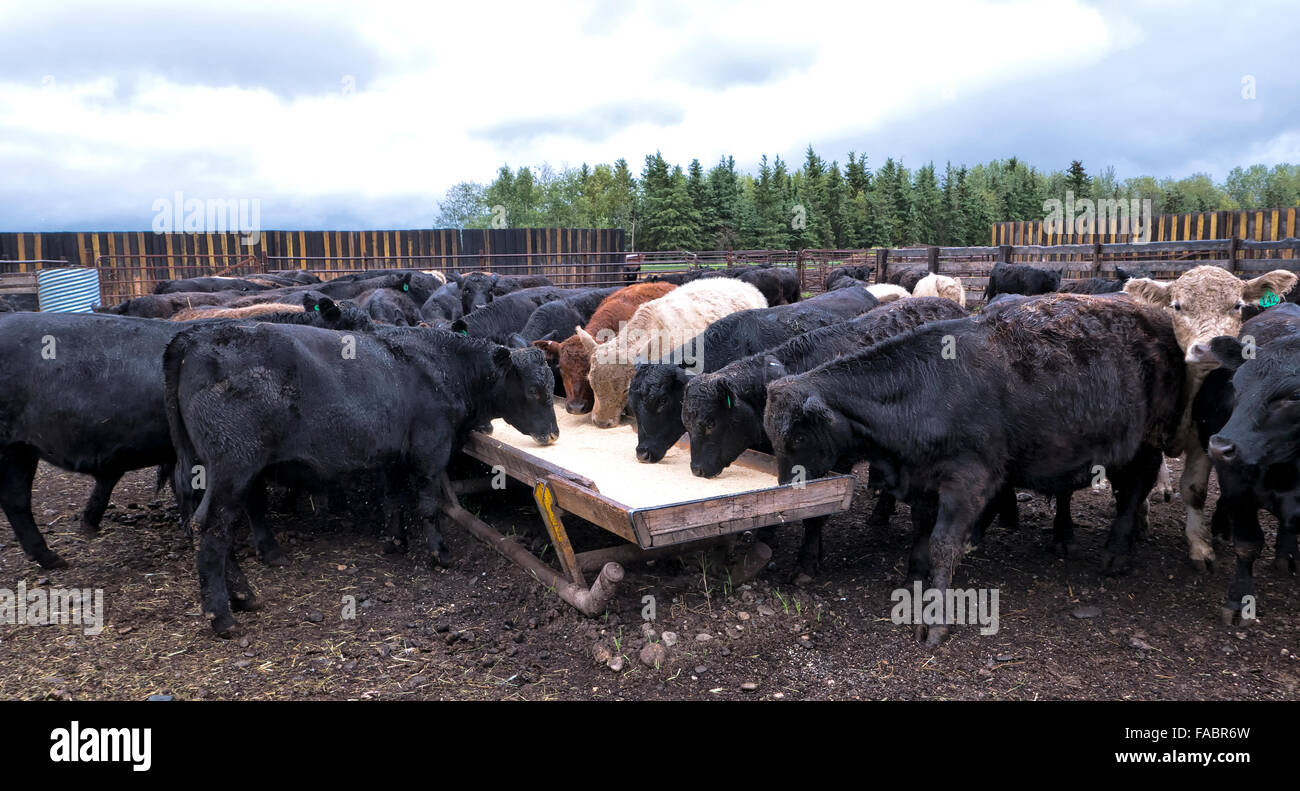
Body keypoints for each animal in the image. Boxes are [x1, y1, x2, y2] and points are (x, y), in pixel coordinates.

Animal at [163, 324, 558, 636]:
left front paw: (396, 541)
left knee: (212, 528)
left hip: (210, 470)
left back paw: (243, 596)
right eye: (535, 391)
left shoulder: (393, 456)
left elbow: (393, 499)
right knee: (212, 529)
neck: (443, 366)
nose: (553, 434)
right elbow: (428, 505)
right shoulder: (431, 450)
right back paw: (222, 616)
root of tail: (195, 335)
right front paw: (440, 553)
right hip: (233, 467)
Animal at [764, 295, 1186, 644]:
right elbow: (922, 527)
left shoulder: (967, 480)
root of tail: (1153, 313)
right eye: (772, 436)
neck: (924, 389)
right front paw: (915, 572)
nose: (784, 489)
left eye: (797, 438)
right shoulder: (924, 476)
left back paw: (1117, 552)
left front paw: (935, 619)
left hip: (1148, 440)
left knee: (1134, 491)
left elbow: (943, 543)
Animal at [1123, 265, 1298, 570]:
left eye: (1237, 305)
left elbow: (1195, 490)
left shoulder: (1203, 437)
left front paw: (1200, 545)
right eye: (1177, 305)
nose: (1206, 348)